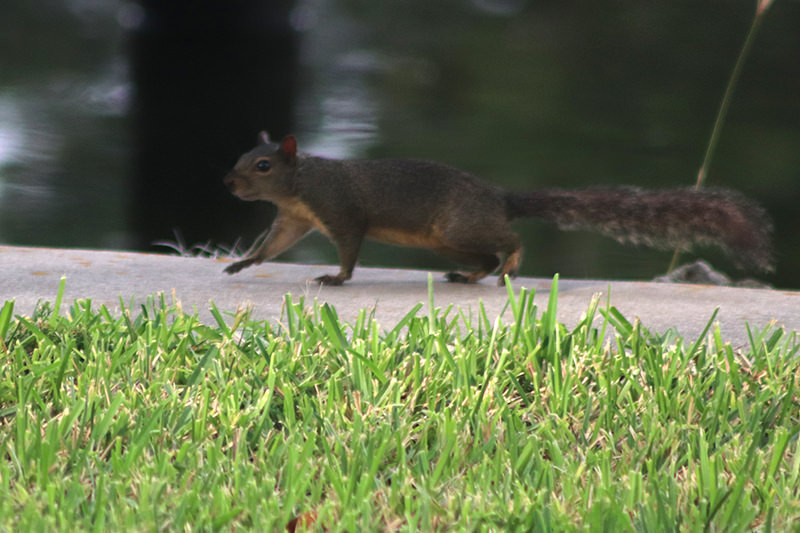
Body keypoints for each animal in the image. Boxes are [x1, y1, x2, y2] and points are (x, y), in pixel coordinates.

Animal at [222, 131, 772, 284]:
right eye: (244, 156)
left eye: (263, 165)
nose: (228, 182)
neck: (300, 184)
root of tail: (500, 198)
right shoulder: (294, 219)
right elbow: (273, 246)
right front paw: (242, 262)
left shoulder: (339, 210)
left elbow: (349, 248)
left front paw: (336, 278)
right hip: (450, 241)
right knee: (484, 258)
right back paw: (468, 277)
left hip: (459, 228)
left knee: (511, 240)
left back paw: (510, 264)